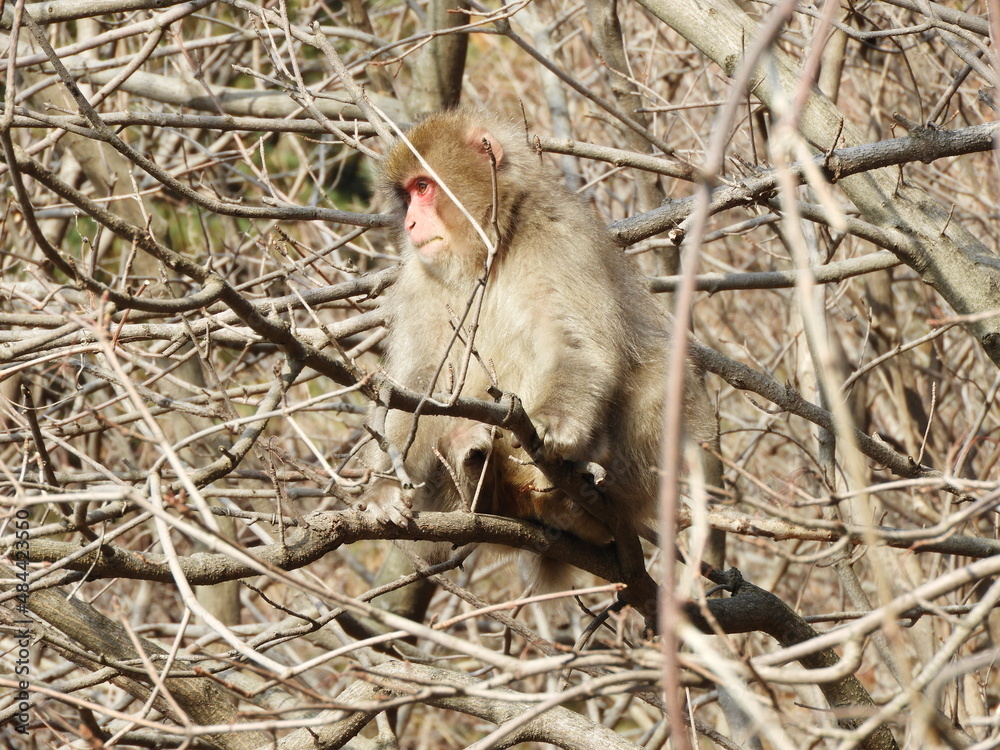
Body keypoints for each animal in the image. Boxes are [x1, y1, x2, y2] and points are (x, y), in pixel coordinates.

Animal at [360, 107, 717, 588]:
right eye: (407, 195)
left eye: (423, 187)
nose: (411, 223)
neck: (488, 252)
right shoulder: (420, 274)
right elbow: (416, 384)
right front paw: (383, 487)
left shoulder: (561, 234)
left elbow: (576, 344)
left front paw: (553, 421)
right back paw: (477, 474)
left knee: (658, 374)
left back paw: (585, 508)